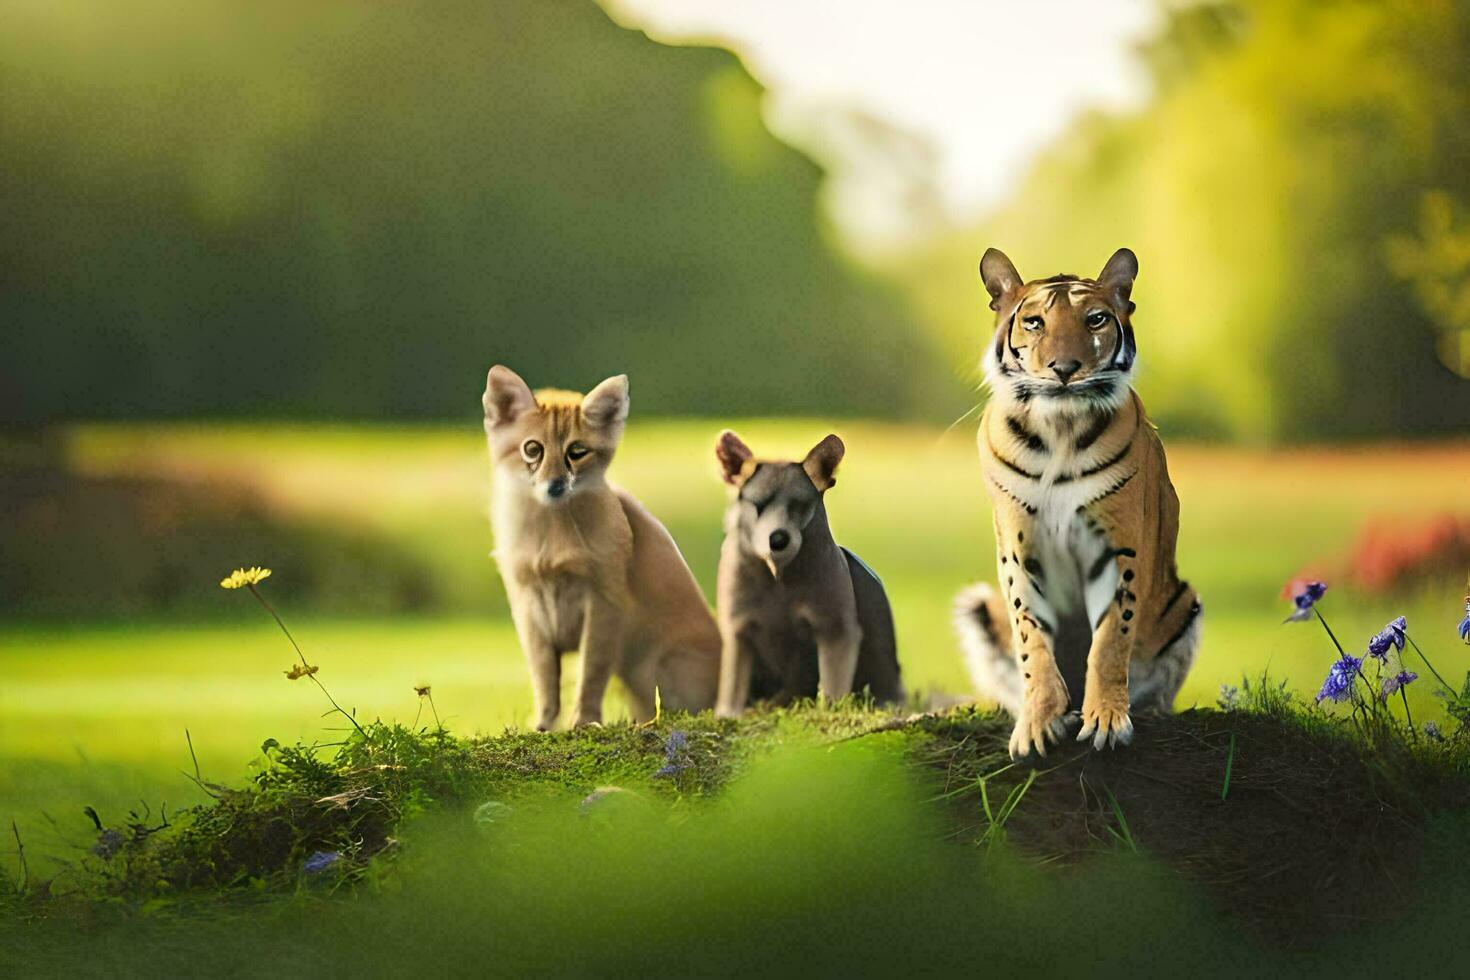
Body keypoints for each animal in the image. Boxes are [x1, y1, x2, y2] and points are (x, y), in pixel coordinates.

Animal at [714, 429, 905, 714]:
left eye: (800, 505)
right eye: (758, 504)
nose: (778, 539)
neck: (778, 577)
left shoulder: (836, 630)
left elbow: (833, 684)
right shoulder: (738, 632)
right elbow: (733, 684)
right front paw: (729, 713)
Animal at [952, 245, 1205, 758]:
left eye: (1095, 320)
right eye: (1034, 323)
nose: (1065, 369)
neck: (1059, 431)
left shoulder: (1118, 548)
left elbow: (1110, 639)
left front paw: (1107, 720)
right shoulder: (1019, 549)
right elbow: (1030, 635)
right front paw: (1038, 722)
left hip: (1184, 603)